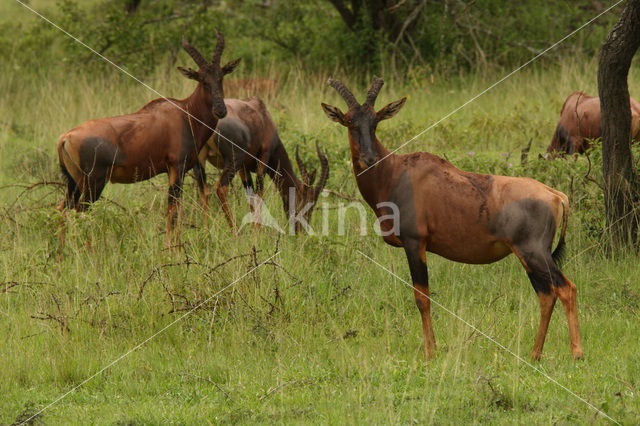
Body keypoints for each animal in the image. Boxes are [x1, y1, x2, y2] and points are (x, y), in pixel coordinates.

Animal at [56, 30, 241, 246]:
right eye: (201, 79)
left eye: (221, 76)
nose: (220, 110)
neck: (185, 112)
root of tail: (66, 137)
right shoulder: (176, 168)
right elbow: (173, 211)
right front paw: (170, 248)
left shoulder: (176, 171)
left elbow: (177, 210)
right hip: (93, 183)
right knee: (80, 213)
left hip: (73, 183)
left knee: (62, 210)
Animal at [200, 96, 330, 233]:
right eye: (307, 202)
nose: (301, 231)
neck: (263, 115)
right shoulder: (263, 158)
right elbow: (259, 193)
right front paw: (257, 231)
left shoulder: (243, 168)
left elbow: (250, 196)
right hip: (233, 161)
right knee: (220, 188)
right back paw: (236, 232)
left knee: (204, 191)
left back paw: (206, 232)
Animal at [322, 76, 584, 360]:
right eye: (350, 121)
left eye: (375, 121)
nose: (369, 159)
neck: (396, 172)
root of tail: (555, 194)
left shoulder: (415, 243)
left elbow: (422, 298)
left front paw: (430, 352)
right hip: (528, 257)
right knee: (546, 295)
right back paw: (535, 354)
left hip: (534, 252)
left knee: (566, 288)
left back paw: (577, 354)